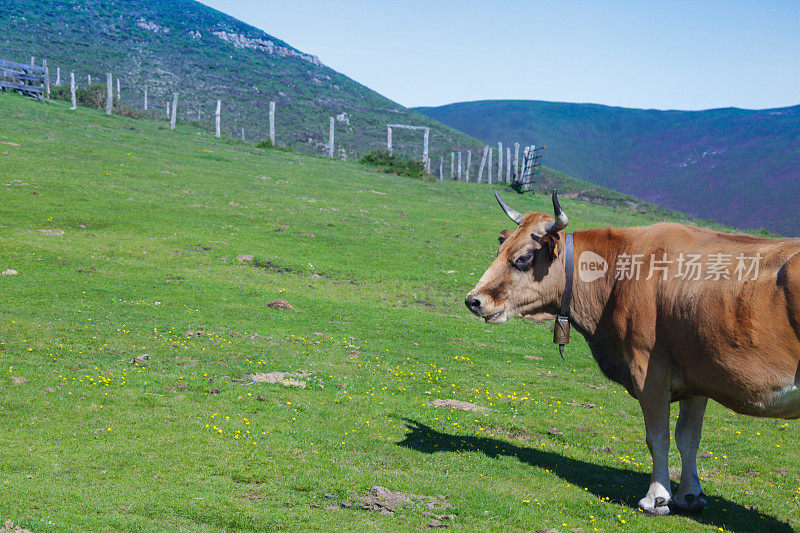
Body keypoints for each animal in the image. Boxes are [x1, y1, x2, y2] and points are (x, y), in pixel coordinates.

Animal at [462, 189, 800, 512]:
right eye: (500, 251)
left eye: (522, 258)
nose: (474, 300)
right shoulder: (698, 376)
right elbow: (688, 438)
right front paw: (689, 495)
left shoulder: (649, 371)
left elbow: (658, 436)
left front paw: (657, 499)